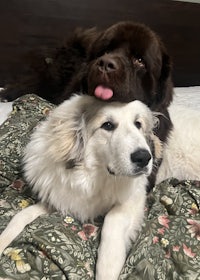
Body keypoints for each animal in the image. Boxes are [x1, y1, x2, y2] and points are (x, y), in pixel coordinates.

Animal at [0, 94, 161, 280]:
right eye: (107, 125)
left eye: (138, 124)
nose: (144, 158)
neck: (93, 178)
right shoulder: (59, 199)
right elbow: (21, 215)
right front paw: (2, 241)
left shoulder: (134, 198)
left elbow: (112, 222)